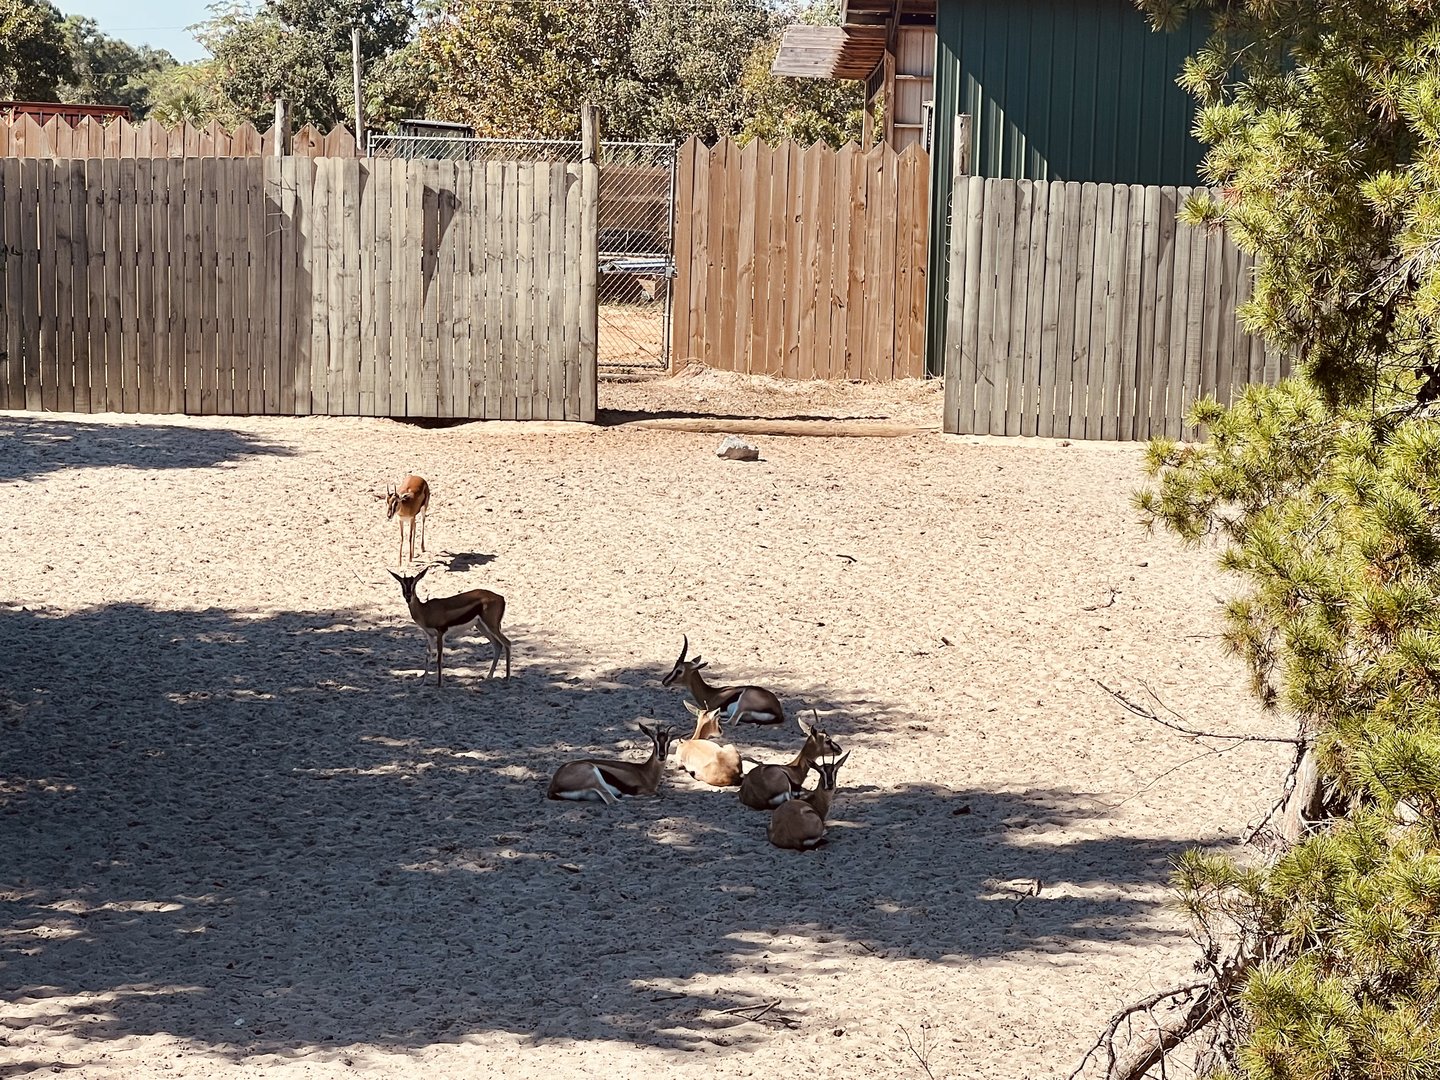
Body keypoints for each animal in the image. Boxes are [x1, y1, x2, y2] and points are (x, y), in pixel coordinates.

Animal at [546, 724, 677, 805]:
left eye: (668, 742)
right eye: (654, 741)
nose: (661, 755)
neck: (645, 772)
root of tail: (554, 784)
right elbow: (657, 793)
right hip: (594, 775)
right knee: (613, 801)